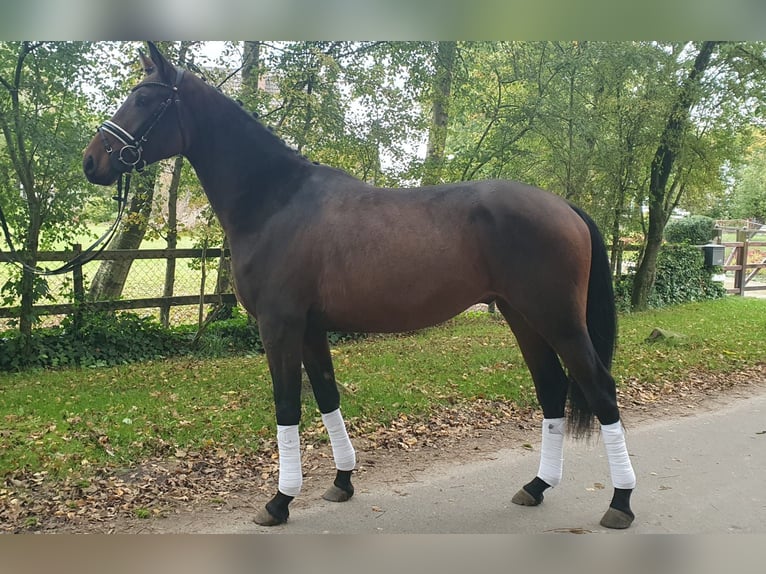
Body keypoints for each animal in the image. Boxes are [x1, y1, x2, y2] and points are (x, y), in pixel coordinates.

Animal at [82, 42, 640, 532]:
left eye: (145, 98)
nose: (92, 161)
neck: (275, 200)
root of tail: (565, 207)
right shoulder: (311, 329)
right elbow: (328, 397)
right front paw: (342, 481)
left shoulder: (280, 327)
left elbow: (287, 406)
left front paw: (279, 501)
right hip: (522, 317)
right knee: (551, 390)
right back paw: (537, 486)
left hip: (558, 320)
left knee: (601, 389)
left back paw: (620, 503)